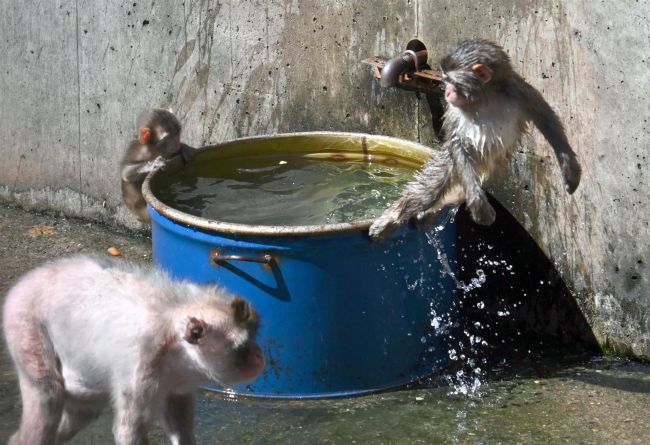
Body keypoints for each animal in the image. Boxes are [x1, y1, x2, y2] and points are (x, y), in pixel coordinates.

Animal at [3, 253, 264, 444]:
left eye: (253, 335)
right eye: (242, 347)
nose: (259, 355)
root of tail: (28, 279)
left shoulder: (180, 379)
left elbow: (178, 417)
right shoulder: (141, 369)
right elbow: (130, 430)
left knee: (82, 410)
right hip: (23, 319)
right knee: (48, 393)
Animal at [368, 40, 580, 241]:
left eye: (451, 81)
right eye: (445, 80)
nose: (447, 92)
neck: (484, 97)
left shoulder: (520, 92)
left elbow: (545, 117)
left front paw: (570, 167)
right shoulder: (455, 112)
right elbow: (458, 144)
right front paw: (479, 204)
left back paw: (429, 212)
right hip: (451, 168)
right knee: (428, 191)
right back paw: (393, 218)